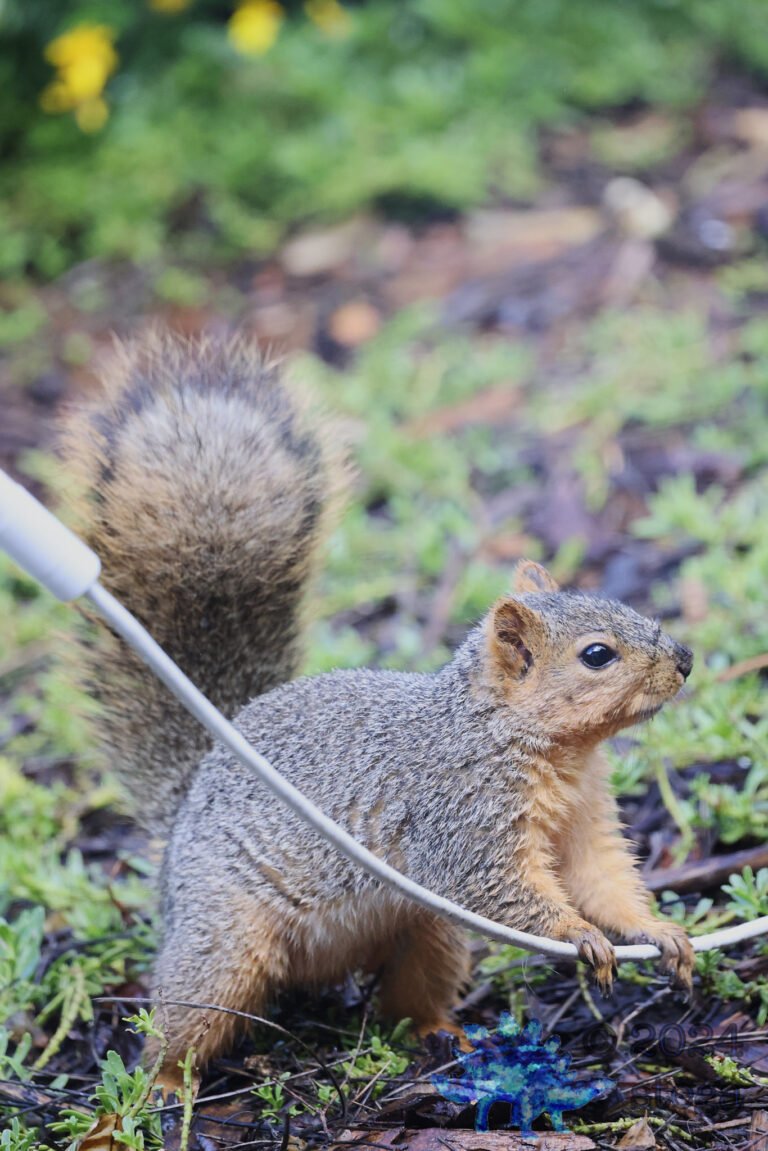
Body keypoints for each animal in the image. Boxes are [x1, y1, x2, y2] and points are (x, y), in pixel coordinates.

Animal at [61, 331, 696, 1075]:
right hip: (222, 941)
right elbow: (498, 889)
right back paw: (160, 1086)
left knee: (407, 1002)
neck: (538, 745)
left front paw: (657, 930)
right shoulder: (464, 816)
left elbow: (603, 879)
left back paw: (443, 1034)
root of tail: (189, 798)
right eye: (598, 654)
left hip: (430, 935)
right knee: (182, 1021)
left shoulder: (584, 819)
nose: (685, 660)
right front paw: (577, 935)